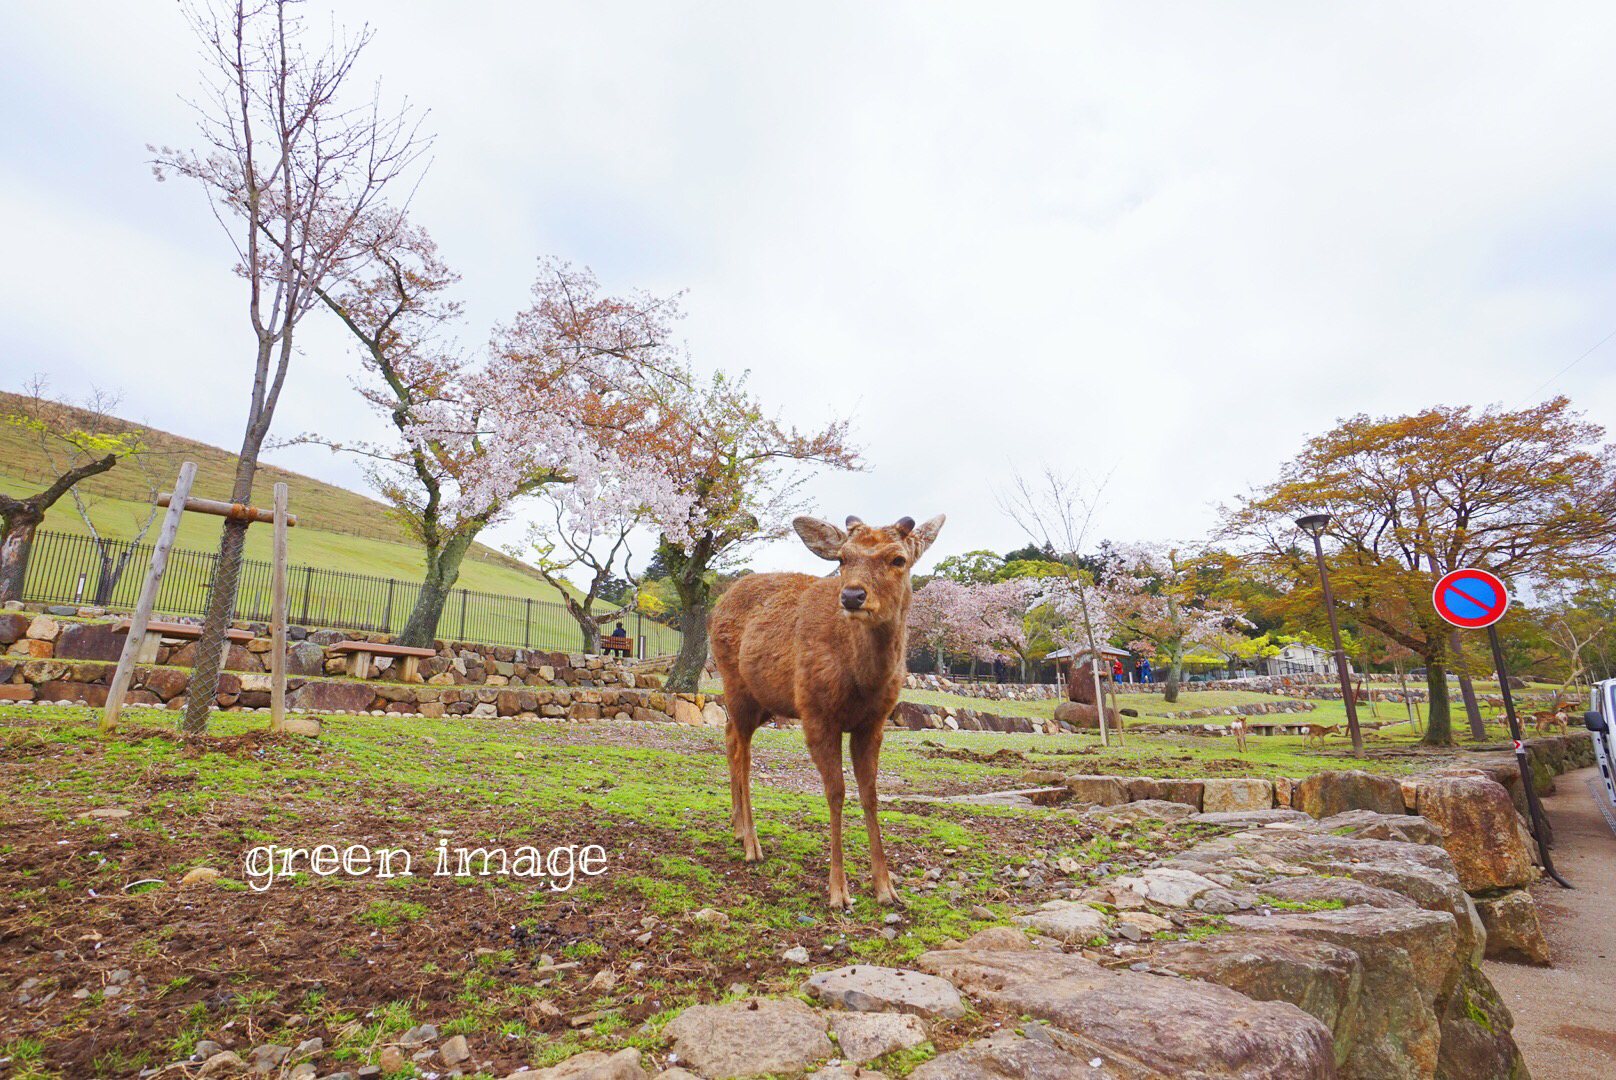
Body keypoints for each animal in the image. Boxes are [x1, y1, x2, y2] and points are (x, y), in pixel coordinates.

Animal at [711, 514, 943, 911]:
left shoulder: (873, 723)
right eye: (842, 559)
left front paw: (886, 888)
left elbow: (870, 792)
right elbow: (836, 792)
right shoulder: (817, 713)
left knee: (729, 737)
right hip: (736, 684)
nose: (851, 596)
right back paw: (752, 844)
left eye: (898, 559)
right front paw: (838, 891)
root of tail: (718, 603)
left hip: (765, 700)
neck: (862, 683)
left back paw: (737, 825)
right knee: (743, 755)